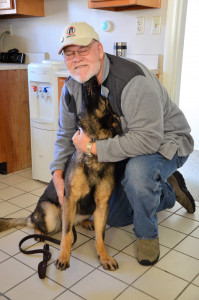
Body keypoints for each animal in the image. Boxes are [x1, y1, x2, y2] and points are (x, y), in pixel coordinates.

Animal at [0, 75, 122, 272]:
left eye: (104, 99)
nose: (90, 79)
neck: (92, 153)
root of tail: (34, 213)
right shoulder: (70, 199)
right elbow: (67, 235)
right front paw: (64, 256)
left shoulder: (102, 205)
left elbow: (100, 236)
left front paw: (104, 256)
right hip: (49, 215)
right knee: (36, 224)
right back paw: (39, 234)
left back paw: (87, 222)